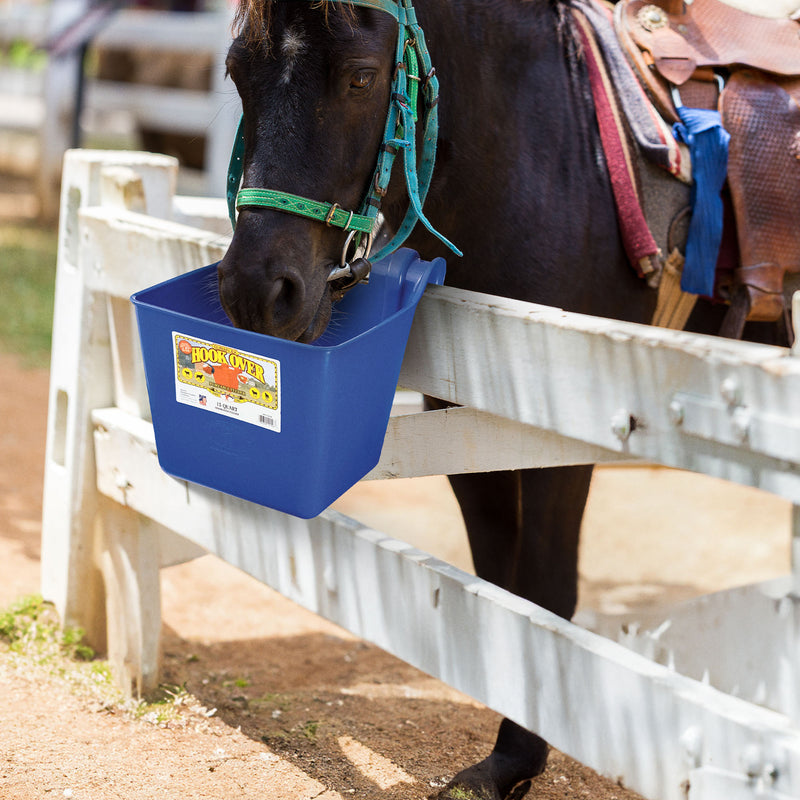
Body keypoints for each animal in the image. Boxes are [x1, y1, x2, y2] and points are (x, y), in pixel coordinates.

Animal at [217, 1, 792, 800]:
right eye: (238, 72)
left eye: (360, 76)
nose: (255, 292)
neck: (546, 152)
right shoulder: (460, 409)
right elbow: (497, 577)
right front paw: (504, 746)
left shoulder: (565, 424)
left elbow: (543, 590)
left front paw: (518, 755)